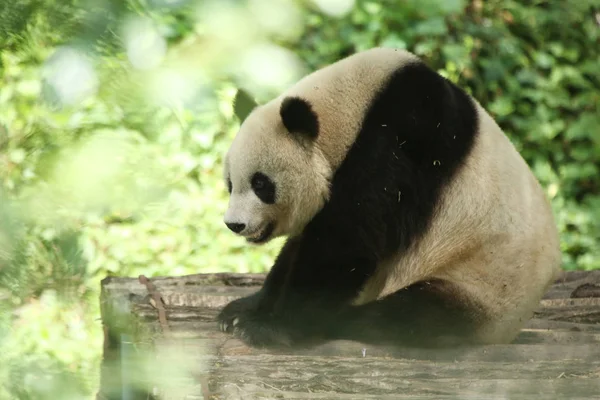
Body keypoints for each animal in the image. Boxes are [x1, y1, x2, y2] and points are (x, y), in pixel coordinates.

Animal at [217, 46, 564, 346]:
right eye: (231, 184)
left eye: (261, 184)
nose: (234, 224)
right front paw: (244, 310)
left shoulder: (400, 141)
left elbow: (346, 242)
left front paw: (269, 326)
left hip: (479, 281)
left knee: (413, 316)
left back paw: (346, 321)